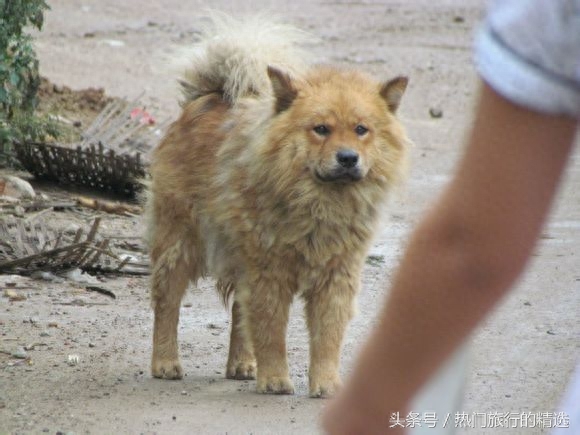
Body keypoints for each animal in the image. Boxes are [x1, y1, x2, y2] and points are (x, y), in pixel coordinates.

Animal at [146, 12, 408, 398]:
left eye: (361, 129)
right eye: (321, 129)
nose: (348, 158)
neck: (319, 205)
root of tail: (207, 98)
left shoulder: (335, 277)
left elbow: (327, 338)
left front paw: (326, 384)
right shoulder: (270, 273)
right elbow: (271, 331)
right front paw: (275, 379)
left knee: (239, 312)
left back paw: (242, 364)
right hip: (180, 242)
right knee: (167, 304)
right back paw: (165, 362)